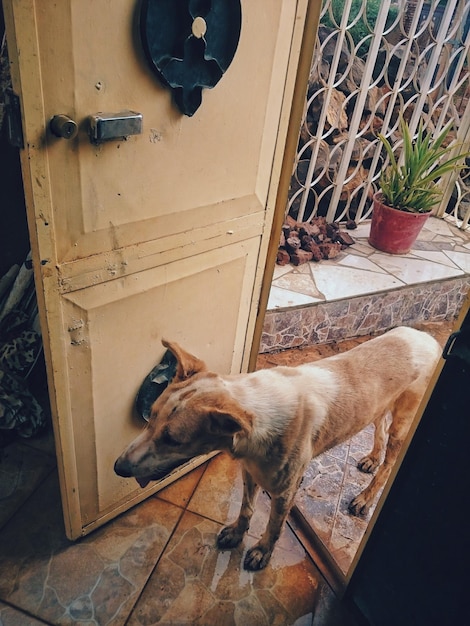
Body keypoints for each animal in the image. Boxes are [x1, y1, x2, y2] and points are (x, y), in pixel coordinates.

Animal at [114, 326, 440, 572]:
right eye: (151, 418)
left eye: (173, 439)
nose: (118, 468)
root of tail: (429, 338)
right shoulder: (250, 472)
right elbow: (246, 508)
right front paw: (237, 532)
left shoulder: (285, 490)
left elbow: (273, 525)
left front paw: (262, 552)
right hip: (378, 409)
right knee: (379, 431)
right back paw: (371, 459)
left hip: (404, 421)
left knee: (389, 461)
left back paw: (365, 497)